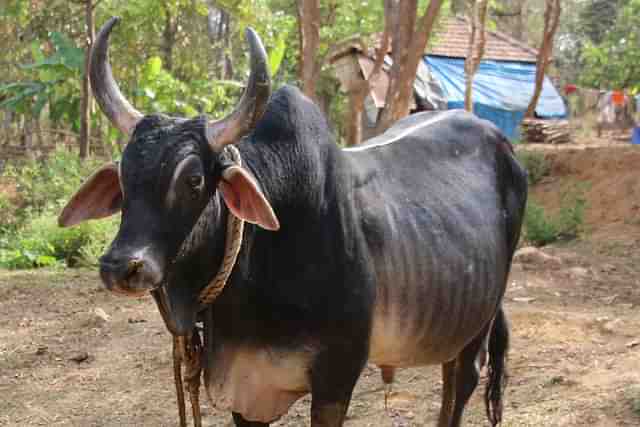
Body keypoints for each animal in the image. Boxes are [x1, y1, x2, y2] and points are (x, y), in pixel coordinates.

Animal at [60, 17, 528, 427]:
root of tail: (501, 142)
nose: (121, 266)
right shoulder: (245, 394)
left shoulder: (336, 377)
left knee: (461, 382)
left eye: (193, 179)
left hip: (479, 321)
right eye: (123, 176)